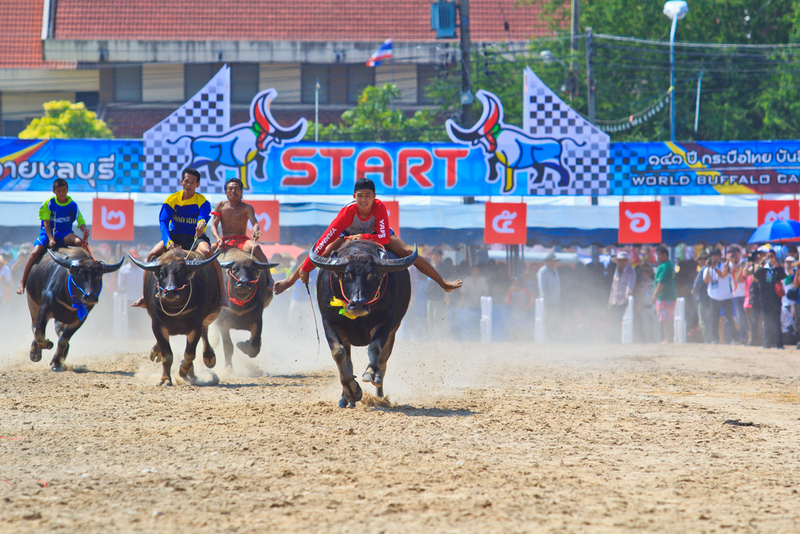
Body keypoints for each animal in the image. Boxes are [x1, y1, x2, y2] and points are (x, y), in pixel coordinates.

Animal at [129, 249, 222, 388]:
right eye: (162, 273)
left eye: (181, 272)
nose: (170, 291)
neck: (175, 310)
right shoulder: (157, 326)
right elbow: (168, 356)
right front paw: (165, 379)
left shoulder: (195, 327)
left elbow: (189, 354)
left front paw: (182, 371)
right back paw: (156, 351)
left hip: (211, 315)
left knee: (205, 331)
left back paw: (208, 357)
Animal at [308, 241, 416, 408]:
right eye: (347, 274)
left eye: (372, 275)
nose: (358, 304)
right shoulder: (329, 322)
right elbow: (339, 354)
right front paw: (351, 391)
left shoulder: (385, 322)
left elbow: (375, 348)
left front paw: (370, 374)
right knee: (349, 361)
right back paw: (346, 398)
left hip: (393, 332)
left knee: (383, 362)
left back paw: (379, 393)